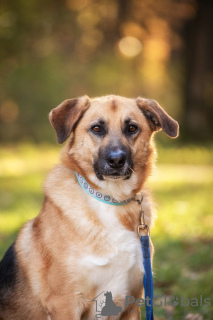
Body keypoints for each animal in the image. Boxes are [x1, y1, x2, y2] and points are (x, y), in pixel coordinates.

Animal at [0, 95, 178, 320]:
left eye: (131, 128)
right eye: (96, 128)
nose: (116, 160)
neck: (111, 199)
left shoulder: (131, 304)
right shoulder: (65, 304)